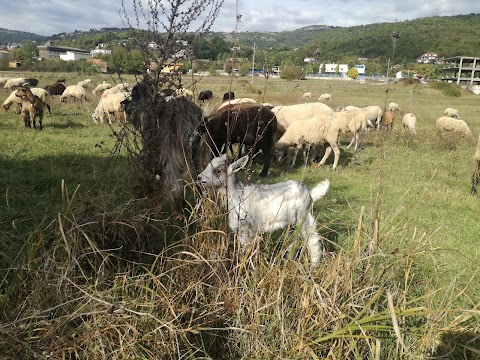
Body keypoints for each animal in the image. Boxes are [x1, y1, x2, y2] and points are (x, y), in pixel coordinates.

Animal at [198, 153, 330, 266]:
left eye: (218, 170)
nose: (199, 178)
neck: (237, 195)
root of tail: (310, 192)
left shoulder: (244, 231)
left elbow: (244, 251)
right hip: (292, 224)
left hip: (303, 217)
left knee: (313, 241)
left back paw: (313, 267)